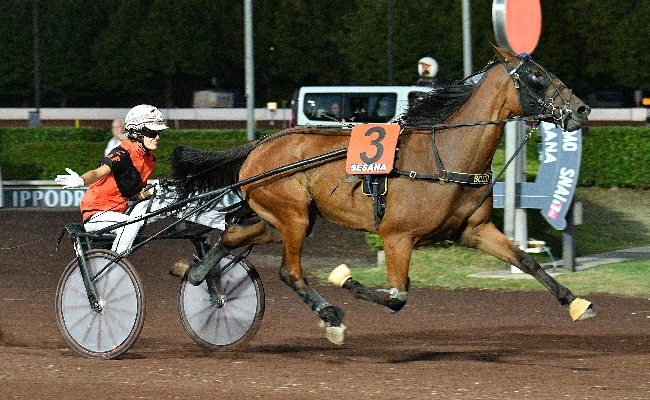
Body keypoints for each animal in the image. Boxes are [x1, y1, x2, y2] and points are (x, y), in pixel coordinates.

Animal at [171, 44, 592, 344]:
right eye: (536, 76)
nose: (581, 109)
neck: (443, 156)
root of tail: (260, 145)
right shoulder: (397, 237)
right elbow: (396, 297)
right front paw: (346, 280)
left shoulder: (473, 230)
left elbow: (527, 261)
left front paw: (576, 303)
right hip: (292, 215)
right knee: (289, 271)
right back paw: (330, 315)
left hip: (283, 219)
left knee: (233, 233)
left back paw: (197, 272)